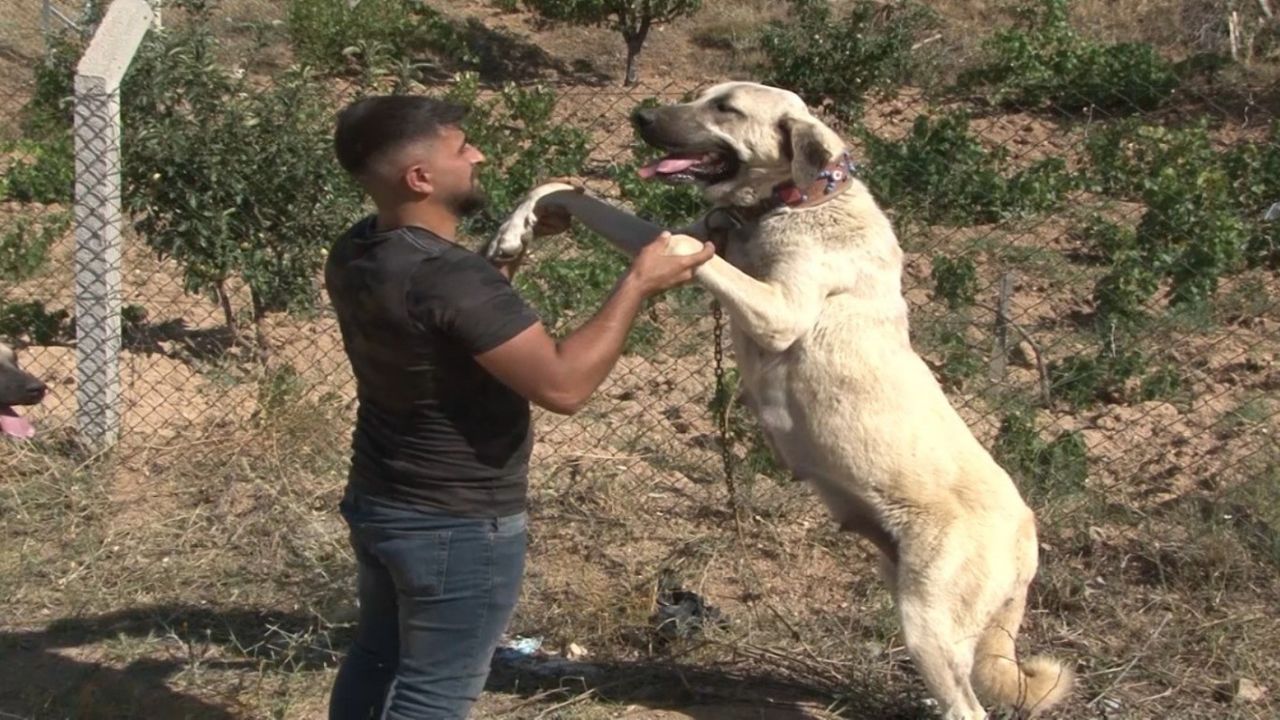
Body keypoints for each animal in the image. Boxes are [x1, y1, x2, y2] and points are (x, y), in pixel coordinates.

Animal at [483, 81, 1075, 712]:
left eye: (726, 108)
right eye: (704, 94)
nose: (639, 115)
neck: (795, 203)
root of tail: (1028, 533)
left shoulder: (777, 311)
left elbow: (682, 246)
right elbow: (573, 190)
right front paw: (516, 229)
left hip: (928, 622)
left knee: (967, 707)